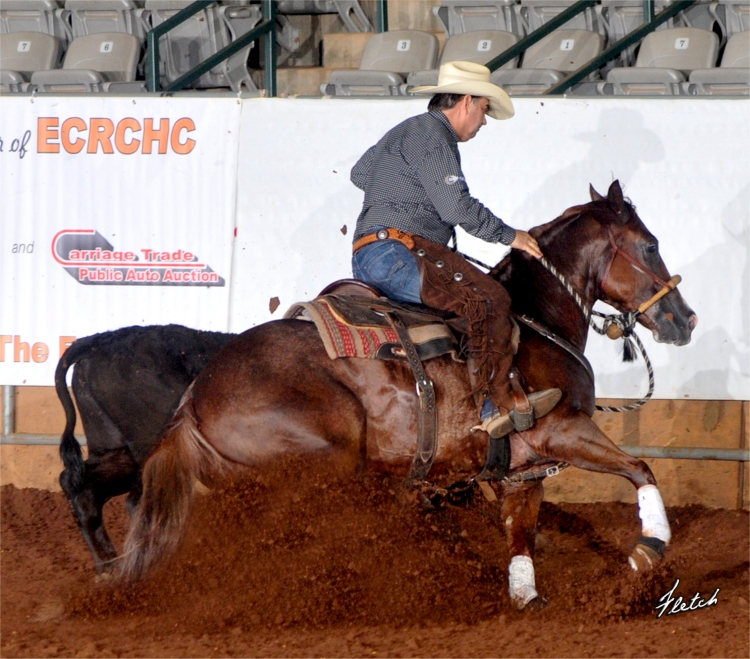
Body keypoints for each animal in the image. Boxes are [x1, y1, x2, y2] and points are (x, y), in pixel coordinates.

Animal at [119, 181, 697, 609]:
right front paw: (649, 549)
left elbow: (519, 537)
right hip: (324, 468)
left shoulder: (521, 471)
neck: (536, 322)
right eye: (650, 245)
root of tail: (194, 399)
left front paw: (526, 597)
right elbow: (640, 469)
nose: (684, 319)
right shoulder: (565, 429)